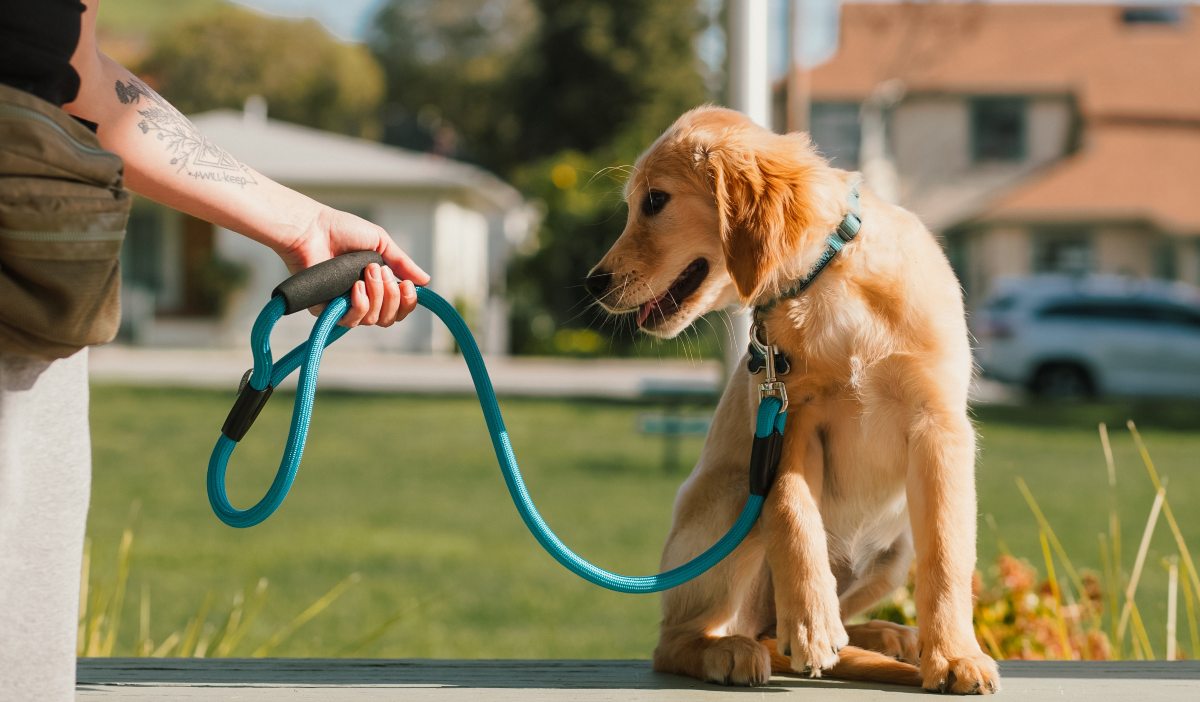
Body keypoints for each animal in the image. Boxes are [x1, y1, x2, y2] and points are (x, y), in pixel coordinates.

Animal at [585, 106, 998, 691]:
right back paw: (732, 649)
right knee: (676, 642)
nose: (593, 283)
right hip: (735, 494)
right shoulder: (790, 418)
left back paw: (883, 636)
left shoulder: (938, 425)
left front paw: (955, 655)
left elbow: (946, 552)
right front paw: (811, 625)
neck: (827, 282)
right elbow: (791, 511)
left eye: (655, 201)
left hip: (893, 555)